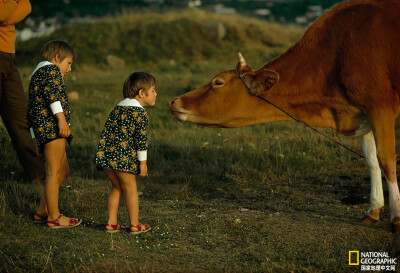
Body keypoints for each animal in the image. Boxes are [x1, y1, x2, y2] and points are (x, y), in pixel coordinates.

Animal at [170, 0, 400, 231]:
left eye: (218, 82)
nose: (174, 101)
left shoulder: (380, 105)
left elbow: (386, 158)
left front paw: (396, 217)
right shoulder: (361, 112)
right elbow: (371, 159)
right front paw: (373, 209)